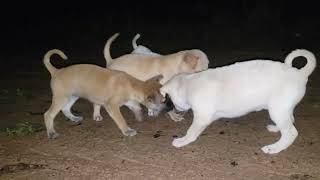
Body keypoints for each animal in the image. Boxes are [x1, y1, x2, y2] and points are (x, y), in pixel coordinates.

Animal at [161, 49, 316, 155]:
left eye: (171, 101)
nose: (175, 111)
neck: (189, 83)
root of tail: (300, 73)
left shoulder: (202, 118)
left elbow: (191, 132)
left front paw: (182, 141)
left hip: (277, 110)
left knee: (291, 133)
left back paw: (274, 148)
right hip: (282, 108)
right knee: (291, 120)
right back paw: (275, 128)